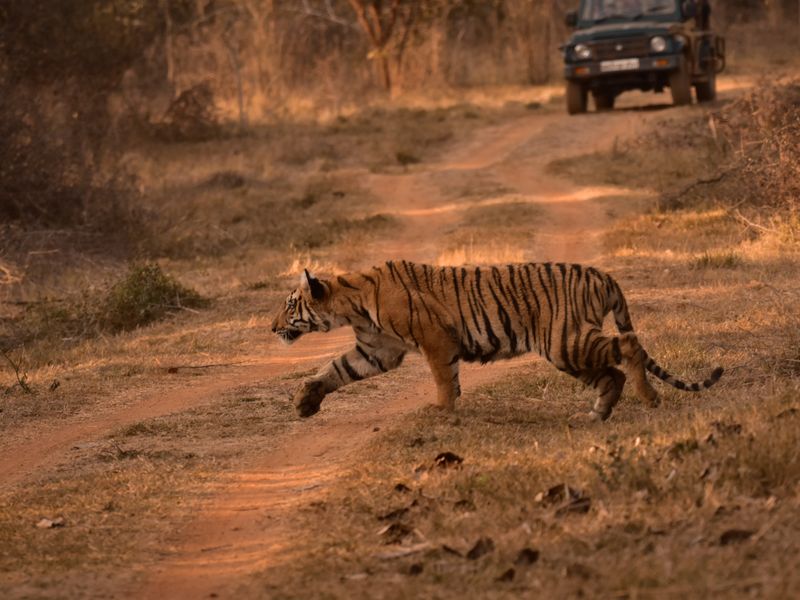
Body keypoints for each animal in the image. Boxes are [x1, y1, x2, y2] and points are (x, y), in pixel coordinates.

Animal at [270, 261, 723, 421]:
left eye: (289, 305)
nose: (271, 328)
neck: (350, 304)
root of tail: (602, 274)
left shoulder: (434, 340)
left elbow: (443, 378)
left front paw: (441, 410)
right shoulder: (377, 350)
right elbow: (335, 369)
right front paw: (305, 401)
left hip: (564, 340)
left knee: (628, 349)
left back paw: (649, 399)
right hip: (568, 350)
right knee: (612, 374)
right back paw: (598, 413)